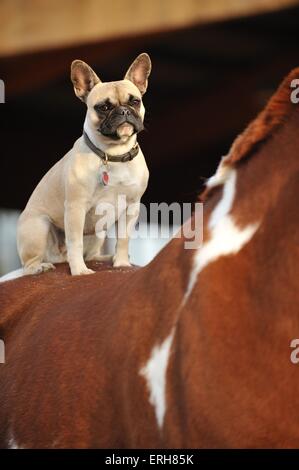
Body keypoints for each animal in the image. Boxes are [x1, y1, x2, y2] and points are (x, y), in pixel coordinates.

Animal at [17, 52, 152, 276]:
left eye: (135, 101)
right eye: (104, 107)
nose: (124, 111)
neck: (112, 154)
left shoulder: (131, 207)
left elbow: (123, 240)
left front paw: (122, 263)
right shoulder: (76, 207)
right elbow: (75, 242)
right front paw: (79, 271)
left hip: (98, 233)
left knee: (91, 253)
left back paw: (105, 257)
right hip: (39, 226)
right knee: (30, 263)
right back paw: (40, 267)